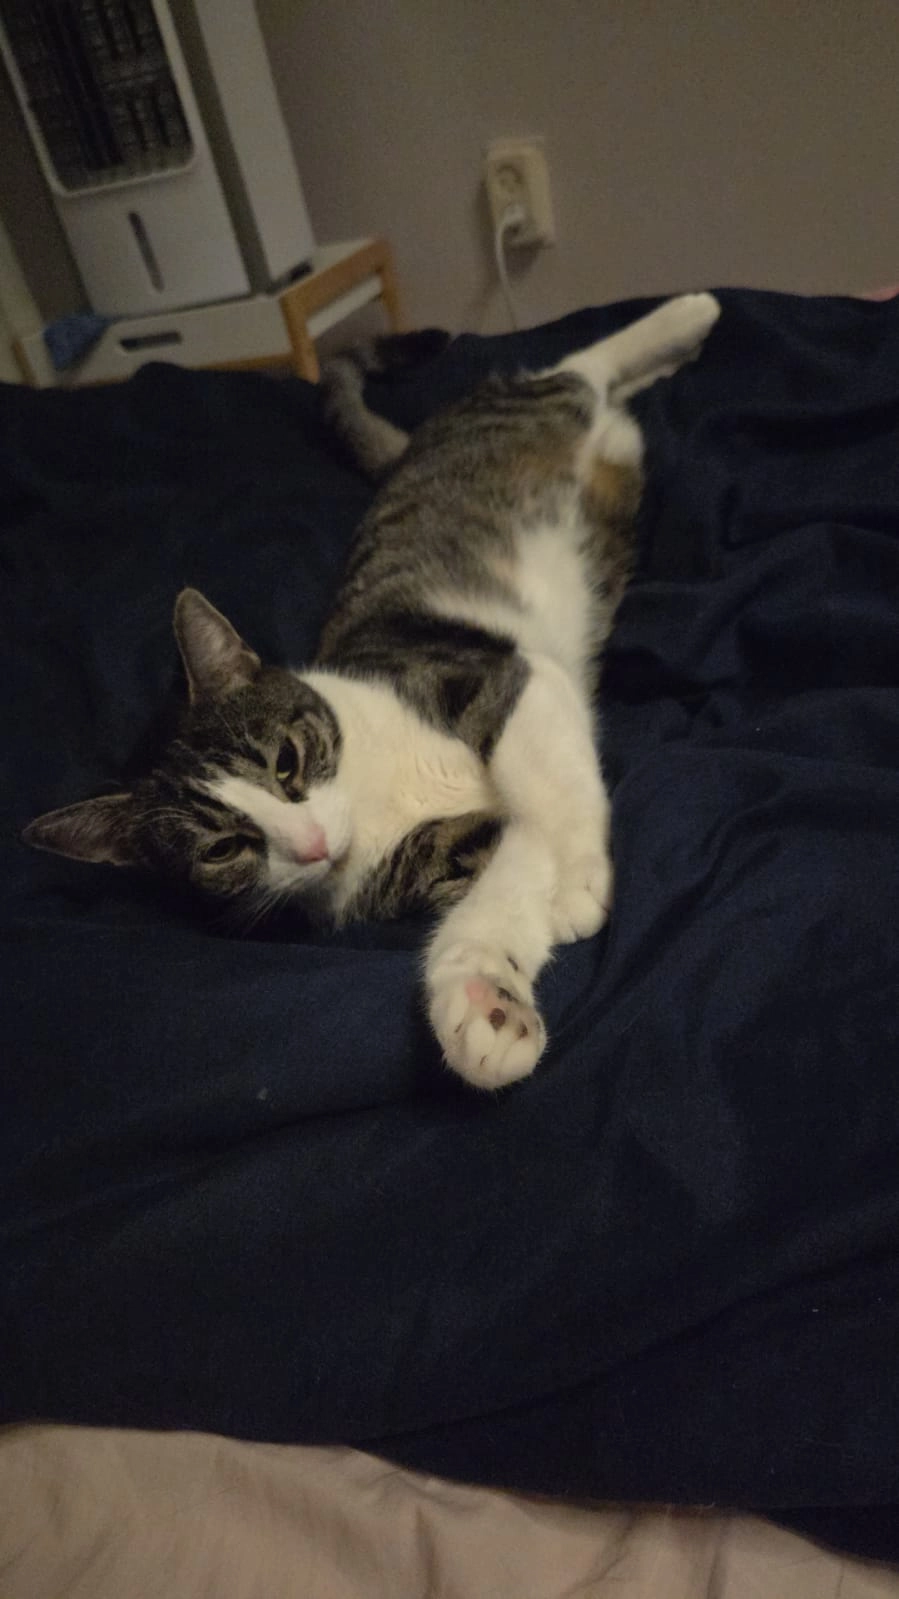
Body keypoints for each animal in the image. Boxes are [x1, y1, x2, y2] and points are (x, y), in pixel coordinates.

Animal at [23, 292, 720, 1089]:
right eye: (223, 848)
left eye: (286, 762)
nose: (311, 844)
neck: (372, 791)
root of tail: (412, 451)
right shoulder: (448, 852)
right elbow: (502, 885)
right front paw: (483, 1002)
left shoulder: (499, 676)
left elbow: (545, 789)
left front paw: (576, 878)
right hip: (617, 454)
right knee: (603, 398)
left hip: (538, 408)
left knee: (576, 367)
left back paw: (684, 317)